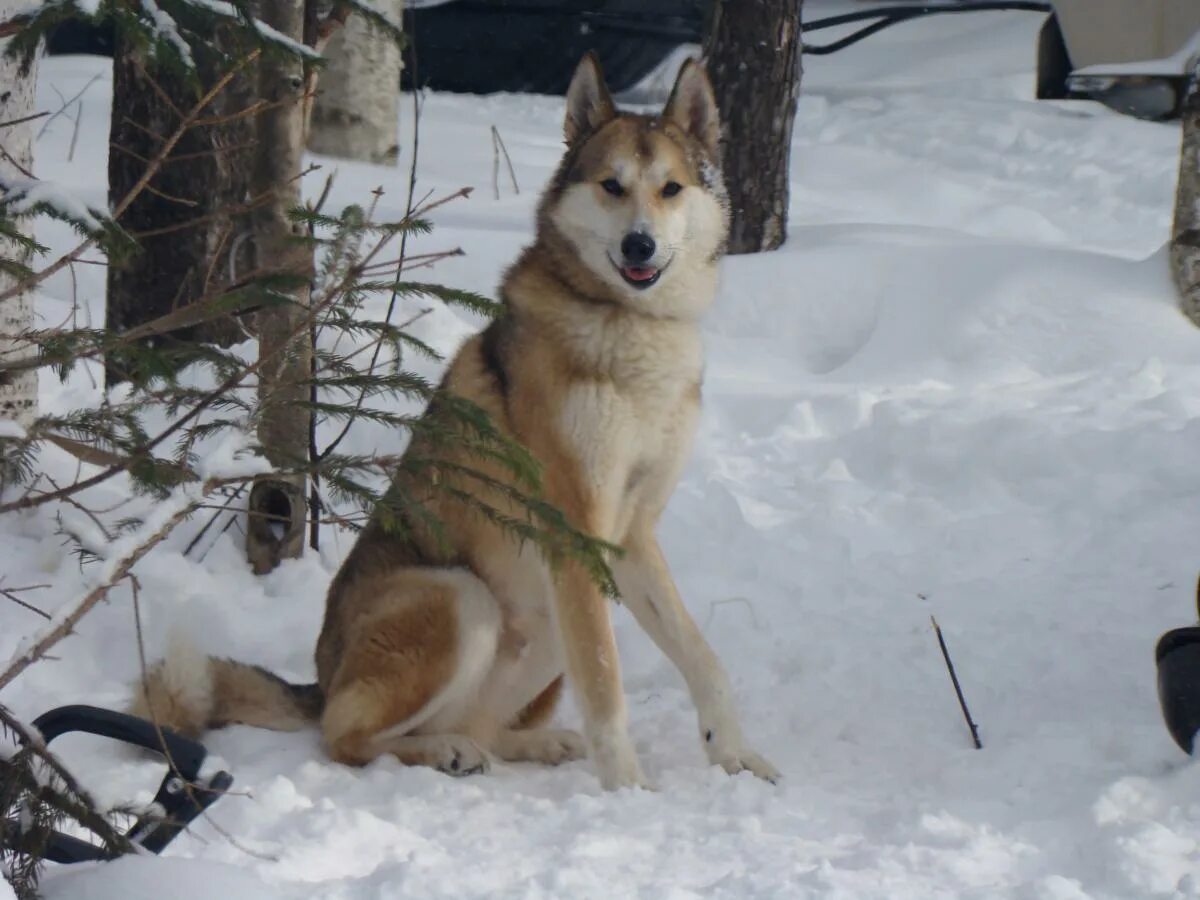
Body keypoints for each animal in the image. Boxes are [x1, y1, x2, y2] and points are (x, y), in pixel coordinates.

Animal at [138, 52, 777, 792]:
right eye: (612, 186)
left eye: (671, 188)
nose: (639, 245)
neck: (632, 329)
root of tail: (320, 681)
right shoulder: (575, 535)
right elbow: (606, 686)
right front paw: (627, 789)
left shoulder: (629, 537)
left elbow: (704, 658)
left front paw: (733, 754)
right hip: (461, 598)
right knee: (346, 737)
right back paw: (442, 752)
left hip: (543, 625)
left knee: (481, 728)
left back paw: (529, 744)